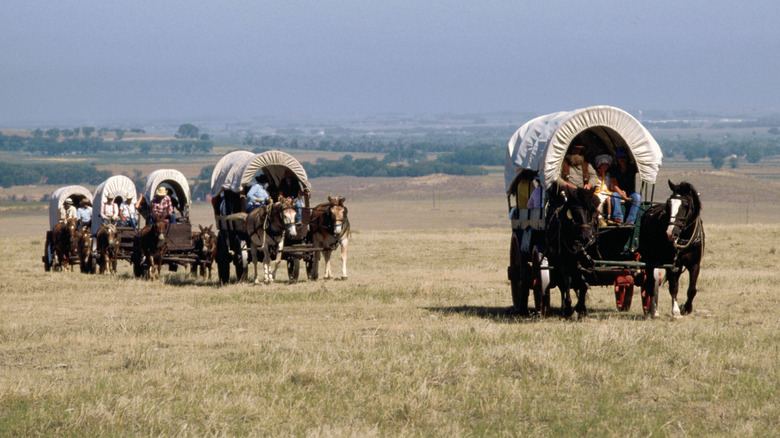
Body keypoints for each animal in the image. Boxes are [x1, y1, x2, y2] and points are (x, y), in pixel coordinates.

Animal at [640, 180, 708, 316]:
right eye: (668, 203)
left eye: (686, 205)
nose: (670, 233)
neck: (685, 237)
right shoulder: (672, 264)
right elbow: (673, 287)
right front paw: (676, 311)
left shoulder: (694, 264)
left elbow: (692, 289)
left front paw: (686, 308)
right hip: (648, 259)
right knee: (650, 283)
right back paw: (652, 310)